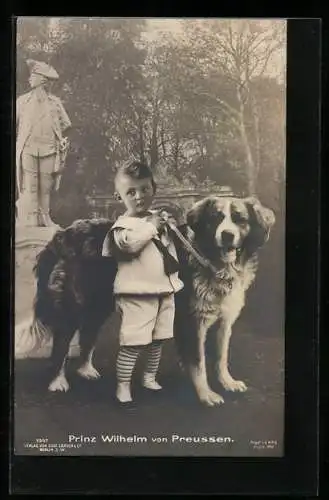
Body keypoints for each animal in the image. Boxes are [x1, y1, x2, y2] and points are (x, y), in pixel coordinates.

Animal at [173, 195, 276, 406]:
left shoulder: (224, 321)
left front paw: (227, 382)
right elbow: (198, 361)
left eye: (240, 219)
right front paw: (206, 394)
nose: (227, 235)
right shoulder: (193, 322)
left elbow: (221, 355)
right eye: (216, 218)